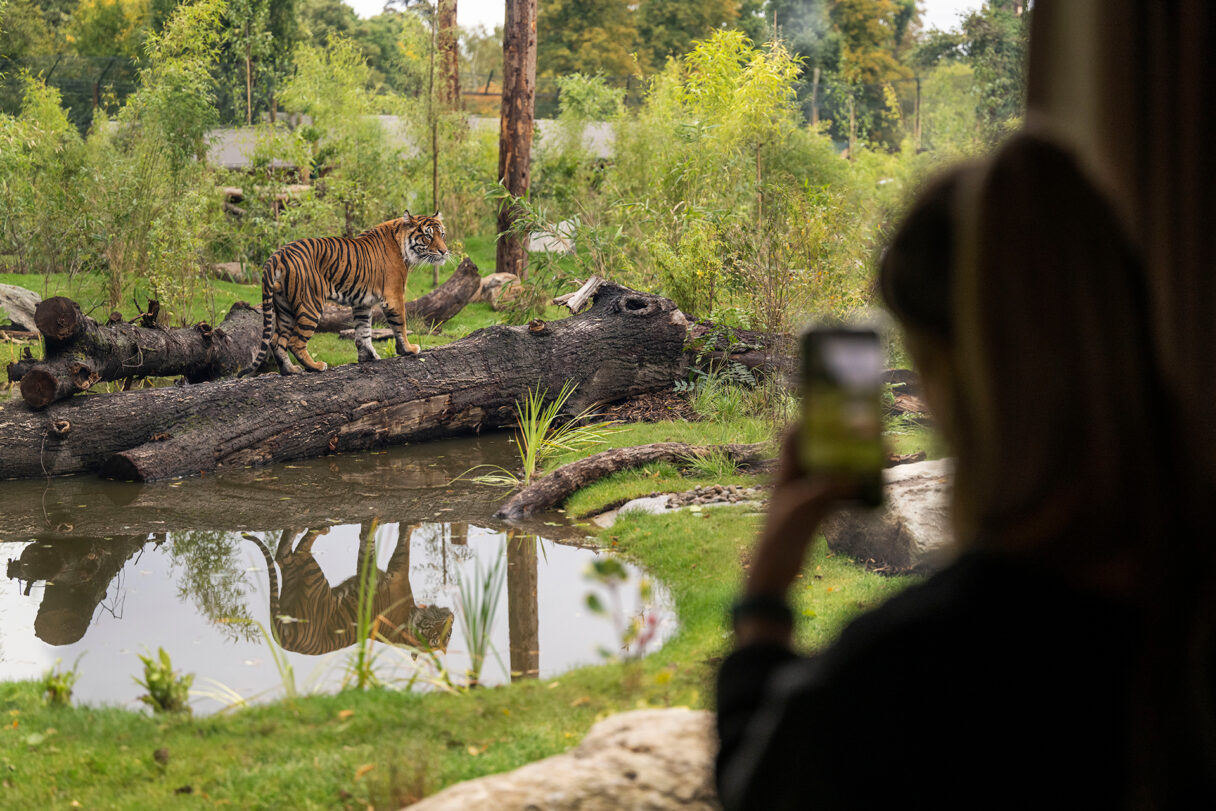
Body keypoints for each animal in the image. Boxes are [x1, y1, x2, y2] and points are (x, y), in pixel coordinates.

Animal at [239, 211, 449, 376]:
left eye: (442, 234)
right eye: (428, 236)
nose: (444, 252)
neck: (402, 243)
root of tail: (278, 254)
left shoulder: (362, 303)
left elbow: (363, 331)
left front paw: (368, 357)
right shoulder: (394, 296)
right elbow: (400, 325)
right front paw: (408, 349)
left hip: (284, 307)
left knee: (277, 341)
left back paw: (289, 370)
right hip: (310, 304)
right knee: (295, 342)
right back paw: (315, 366)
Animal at [243, 522, 454, 657]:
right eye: (438, 635)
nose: (451, 616)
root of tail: (285, 640)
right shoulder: (398, 574)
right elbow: (393, 541)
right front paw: (410, 525)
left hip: (308, 579)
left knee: (289, 555)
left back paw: (310, 529)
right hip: (306, 578)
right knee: (289, 553)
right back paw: (312, 529)